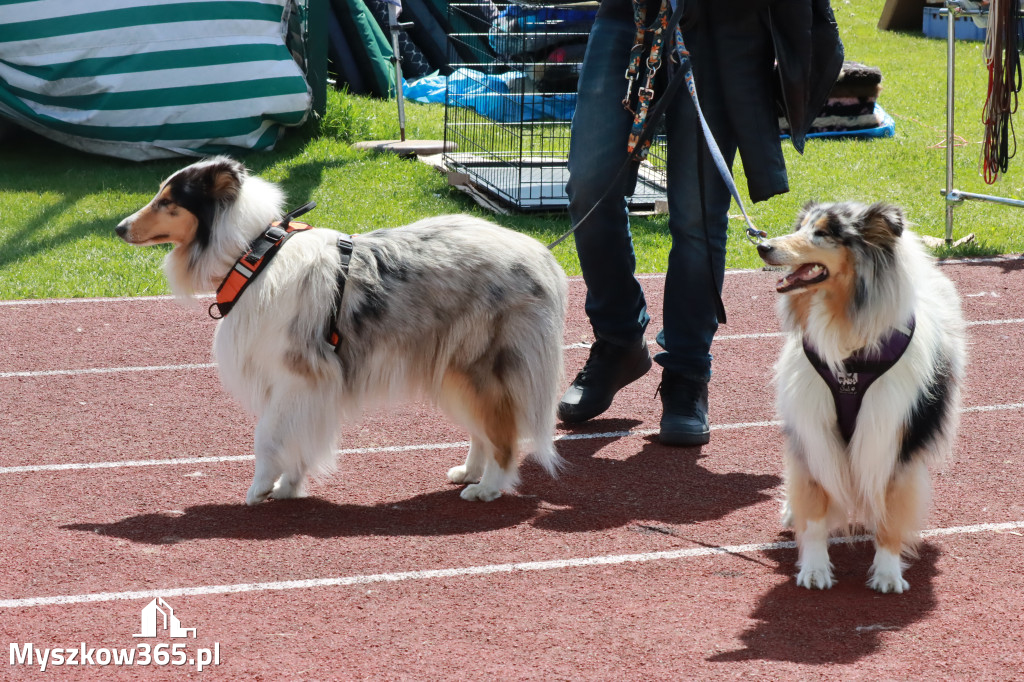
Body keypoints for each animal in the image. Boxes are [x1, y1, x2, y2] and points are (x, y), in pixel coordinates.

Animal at [118, 156, 573, 501]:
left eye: (168, 201)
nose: (120, 228)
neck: (255, 254)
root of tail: (541, 257)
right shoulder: (300, 387)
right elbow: (293, 438)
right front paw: (288, 486)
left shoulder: (296, 376)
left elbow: (267, 436)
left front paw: (260, 489)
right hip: (452, 371)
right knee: (484, 428)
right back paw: (469, 472)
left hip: (477, 367)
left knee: (503, 433)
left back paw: (488, 488)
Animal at [761, 200, 966, 589]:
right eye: (802, 227)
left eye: (822, 233)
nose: (762, 245)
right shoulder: (813, 426)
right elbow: (814, 509)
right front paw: (814, 569)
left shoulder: (892, 435)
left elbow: (890, 511)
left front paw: (887, 573)